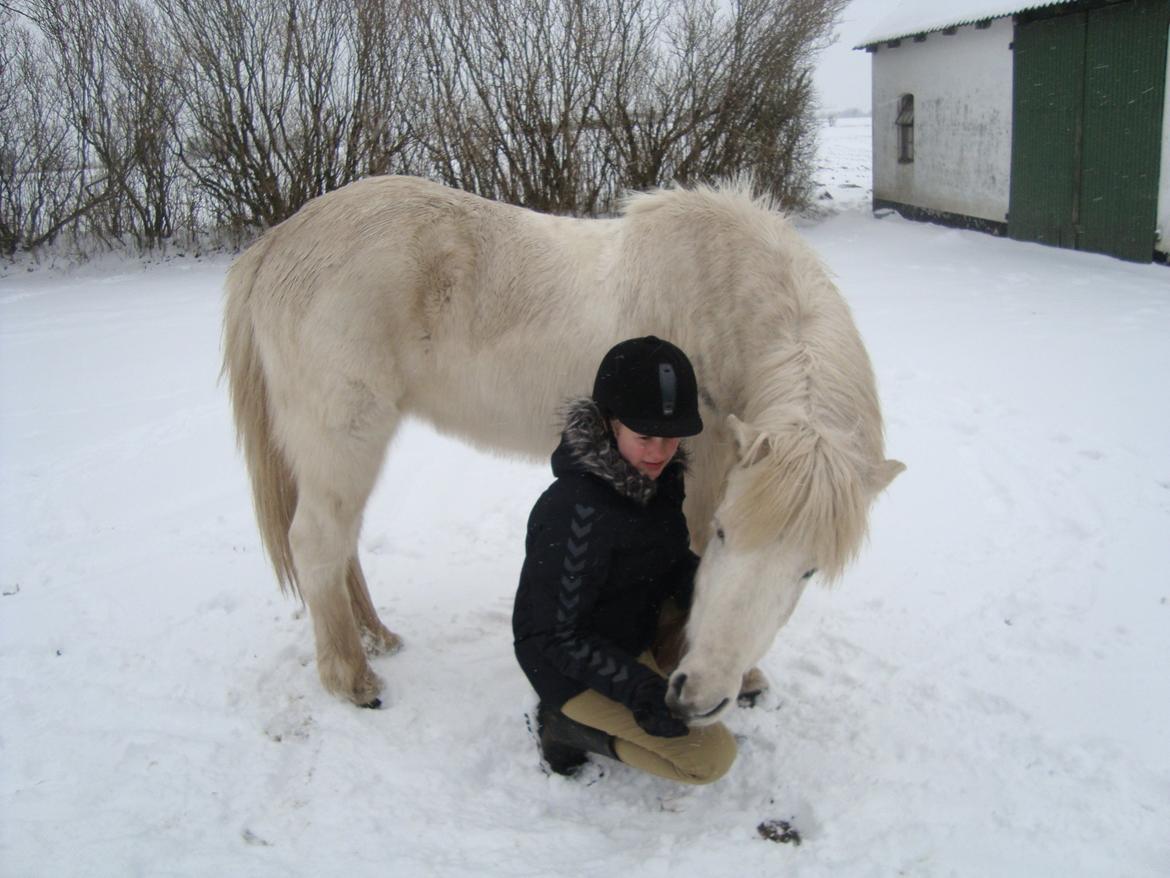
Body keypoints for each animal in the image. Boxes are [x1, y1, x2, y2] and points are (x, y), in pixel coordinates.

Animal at [223, 175, 907, 725]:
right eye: (723, 534)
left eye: (809, 569)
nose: (701, 697)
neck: (726, 310)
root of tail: (279, 242)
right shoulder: (701, 482)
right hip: (344, 437)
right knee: (317, 542)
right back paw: (353, 677)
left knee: (341, 543)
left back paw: (376, 637)